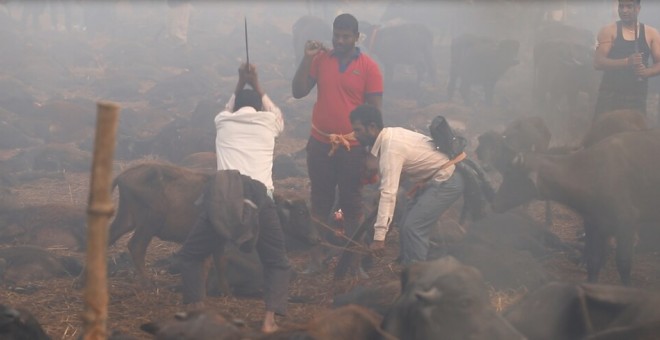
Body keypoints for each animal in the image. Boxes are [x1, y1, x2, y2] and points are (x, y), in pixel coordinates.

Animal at [108, 162, 320, 286]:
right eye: (301, 212)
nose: (315, 239)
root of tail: (123, 175)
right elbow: (211, 263)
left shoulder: (219, 242)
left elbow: (220, 263)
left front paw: (225, 291)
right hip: (148, 223)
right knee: (136, 247)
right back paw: (148, 283)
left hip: (126, 219)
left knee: (109, 235)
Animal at [492, 128, 660, 284]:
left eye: (511, 174)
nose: (495, 204)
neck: (592, 174)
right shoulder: (593, 225)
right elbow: (593, 261)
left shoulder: (626, 225)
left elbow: (623, 264)